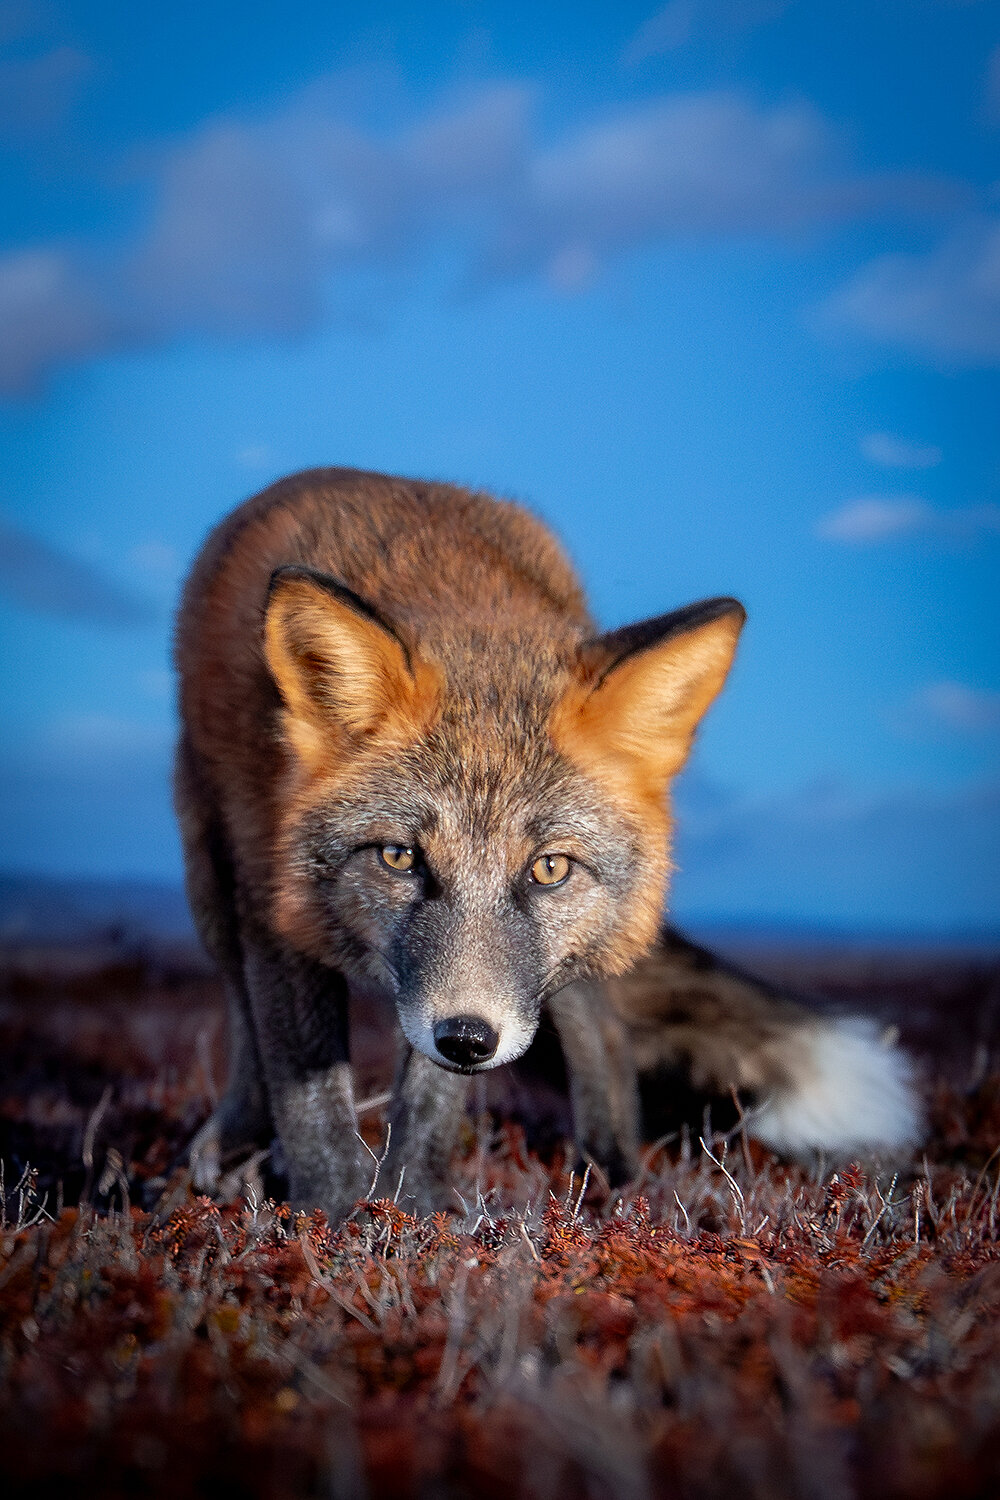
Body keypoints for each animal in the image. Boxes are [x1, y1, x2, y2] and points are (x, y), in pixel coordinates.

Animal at [175, 467, 921, 1221]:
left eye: (549, 868)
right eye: (399, 858)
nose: (467, 1038)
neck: (463, 598)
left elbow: (431, 1104)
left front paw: (408, 1215)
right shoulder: (274, 898)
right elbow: (309, 1098)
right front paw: (330, 1217)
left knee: (604, 1027)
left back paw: (612, 1180)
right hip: (210, 879)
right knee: (244, 1023)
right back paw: (235, 1147)